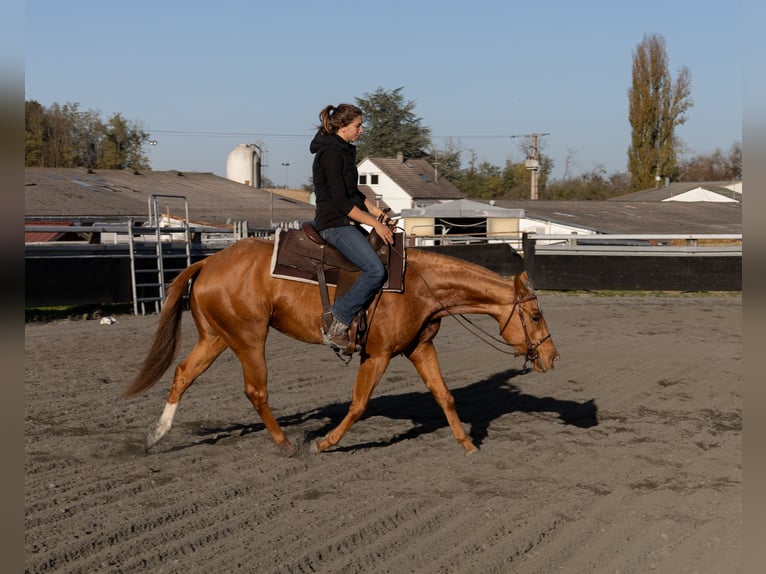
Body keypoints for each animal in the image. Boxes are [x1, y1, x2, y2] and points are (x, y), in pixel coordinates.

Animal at [124, 236, 560, 456]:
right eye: (536, 315)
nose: (552, 357)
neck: (420, 286)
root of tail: (207, 263)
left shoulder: (420, 349)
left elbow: (444, 395)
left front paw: (467, 444)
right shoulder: (377, 354)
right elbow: (359, 403)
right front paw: (326, 442)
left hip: (216, 338)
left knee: (183, 374)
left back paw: (155, 437)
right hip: (249, 338)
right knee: (256, 391)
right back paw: (286, 444)